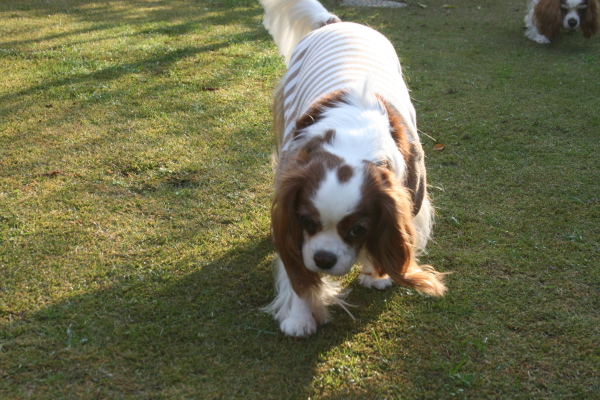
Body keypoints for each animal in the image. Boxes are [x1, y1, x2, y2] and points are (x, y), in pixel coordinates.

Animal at [258, 0, 446, 338]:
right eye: (306, 221)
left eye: (359, 229)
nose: (323, 259)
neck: (353, 140)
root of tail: (335, 22)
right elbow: (295, 269)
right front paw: (300, 317)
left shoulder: (407, 200)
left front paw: (377, 273)